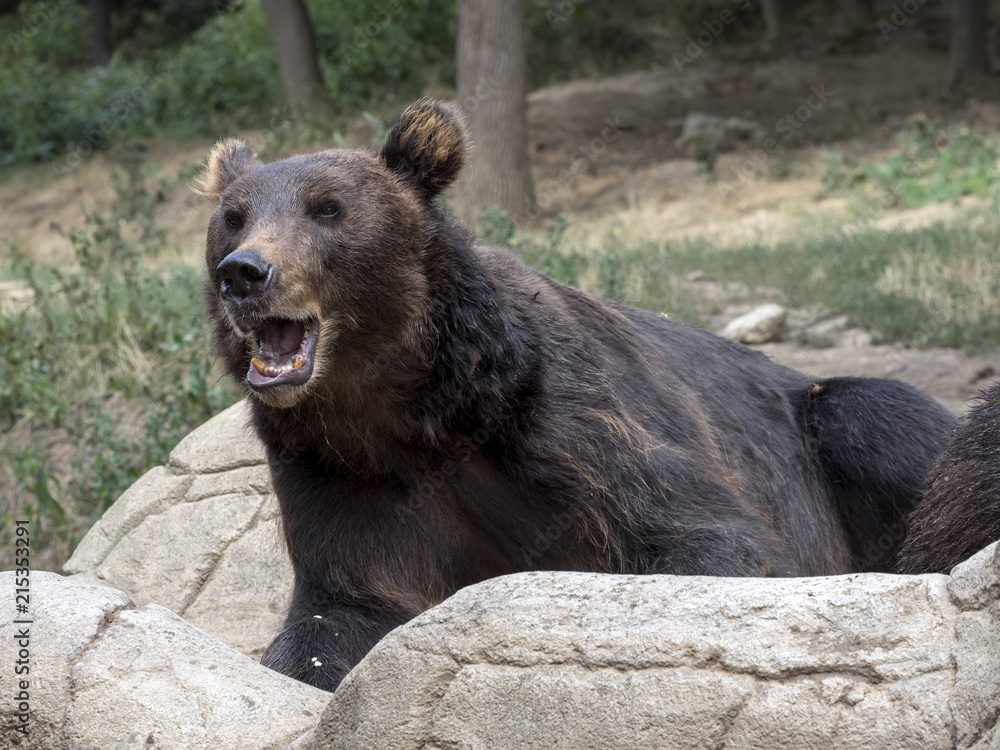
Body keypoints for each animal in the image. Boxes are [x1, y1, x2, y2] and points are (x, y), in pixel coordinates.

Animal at [198, 99, 957, 692]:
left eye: (327, 209)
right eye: (234, 216)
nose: (245, 272)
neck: (409, 411)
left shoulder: (562, 420)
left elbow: (703, 534)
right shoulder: (337, 471)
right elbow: (342, 608)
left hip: (832, 421)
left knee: (873, 419)